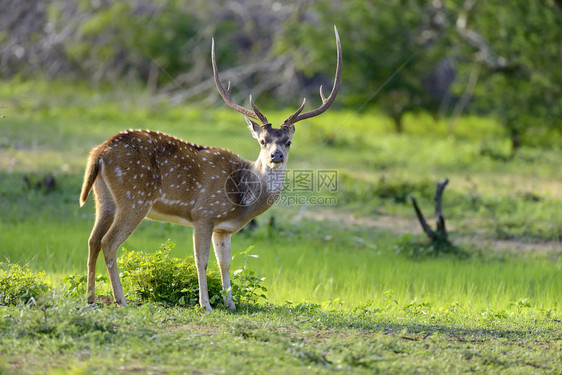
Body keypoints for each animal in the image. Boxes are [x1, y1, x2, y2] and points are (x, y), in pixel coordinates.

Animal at [79, 24, 342, 312]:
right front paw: (206, 304)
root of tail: (99, 152)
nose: (276, 155)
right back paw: (121, 299)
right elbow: (201, 260)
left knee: (92, 240)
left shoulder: (222, 227)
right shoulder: (204, 213)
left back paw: (90, 298)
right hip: (135, 197)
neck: (242, 200)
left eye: (288, 141)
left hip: (103, 197)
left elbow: (224, 263)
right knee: (109, 242)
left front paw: (231, 303)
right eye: (263, 141)